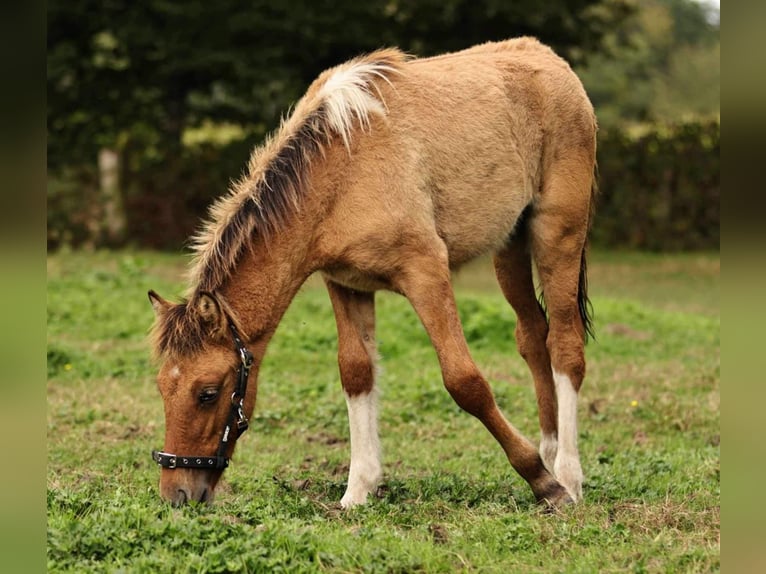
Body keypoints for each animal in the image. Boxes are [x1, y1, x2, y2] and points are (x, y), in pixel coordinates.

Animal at [148, 37, 597, 509]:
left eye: (207, 393)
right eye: (162, 388)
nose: (177, 493)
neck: (341, 169)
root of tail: (549, 59)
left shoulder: (426, 272)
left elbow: (465, 381)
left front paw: (540, 479)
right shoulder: (345, 284)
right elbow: (356, 373)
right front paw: (358, 490)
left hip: (557, 236)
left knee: (565, 344)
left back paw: (566, 474)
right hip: (509, 248)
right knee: (533, 335)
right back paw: (549, 449)